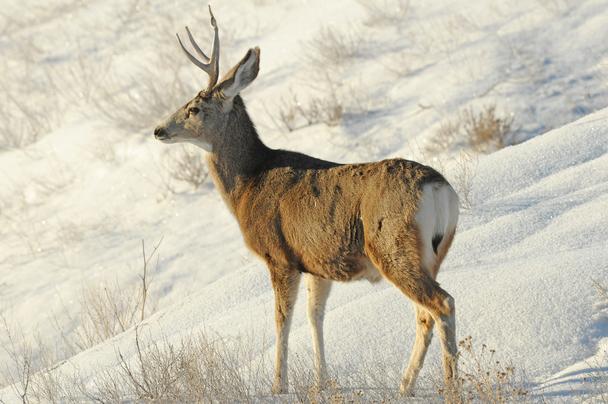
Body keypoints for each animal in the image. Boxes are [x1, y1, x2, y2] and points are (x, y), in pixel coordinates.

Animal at [154, 7, 458, 396]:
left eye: (193, 108)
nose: (159, 130)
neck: (248, 184)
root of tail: (440, 189)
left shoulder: (279, 256)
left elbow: (281, 321)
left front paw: (278, 386)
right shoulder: (316, 262)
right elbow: (316, 317)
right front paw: (321, 382)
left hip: (392, 245)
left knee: (442, 303)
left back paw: (450, 387)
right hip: (433, 253)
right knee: (425, 313)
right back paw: (405, 386)